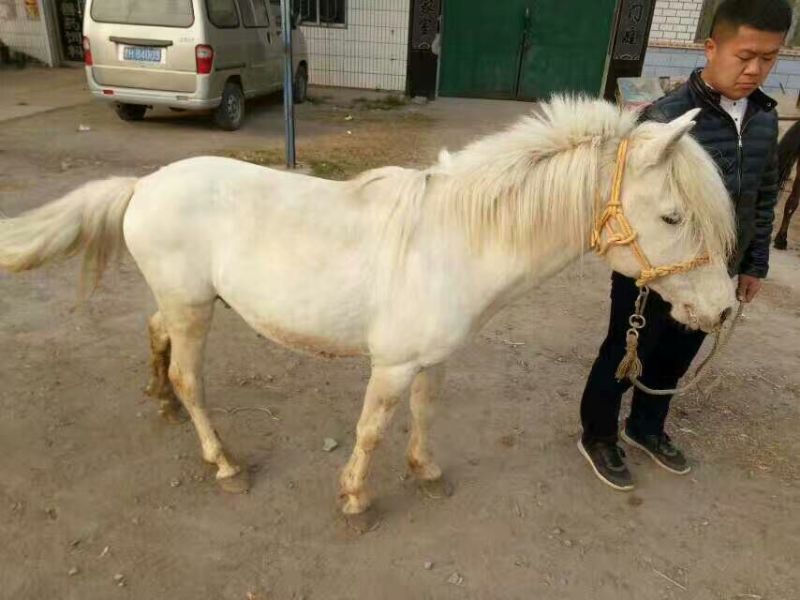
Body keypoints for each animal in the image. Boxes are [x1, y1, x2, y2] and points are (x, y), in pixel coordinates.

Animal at [0, 96, 736, 520]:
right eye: (673, 216)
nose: (724, 309)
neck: (456, 239)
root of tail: (142, 185)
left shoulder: (434, 360)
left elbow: (424, 415)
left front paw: (427, 473)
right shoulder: (393, 364)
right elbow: (372, 429)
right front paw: (354, 497)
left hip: (185, 301)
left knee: (157, 340)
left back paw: (159, 402)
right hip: (192, 309)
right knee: (190, 377)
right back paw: (223, 463)